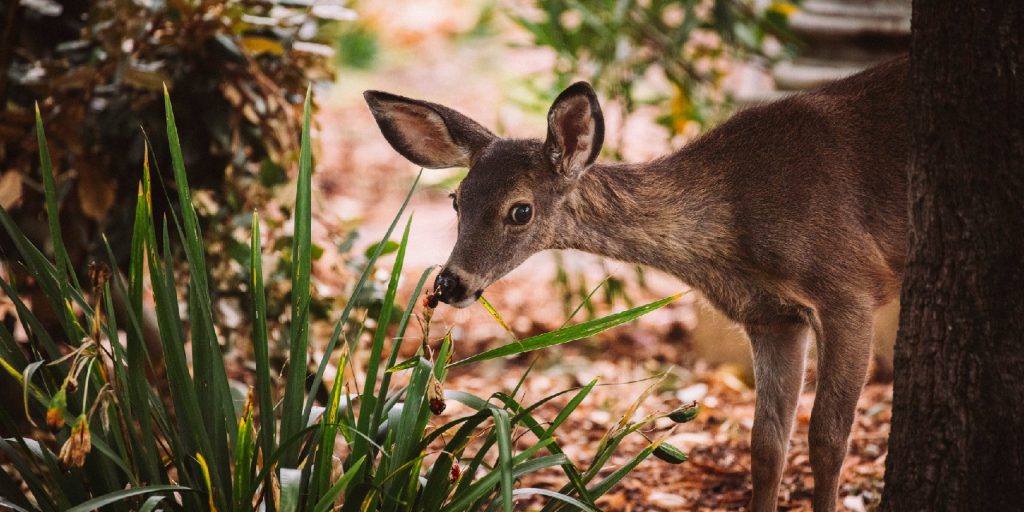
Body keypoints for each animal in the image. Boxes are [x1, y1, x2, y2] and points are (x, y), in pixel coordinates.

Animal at [364, 54, 909, 509]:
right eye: (456, 200)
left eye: (521, 210)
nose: (450, 284)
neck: (734, 219)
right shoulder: (771, 317)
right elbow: (766, 443)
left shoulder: (848, 286)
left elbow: (827, 437)